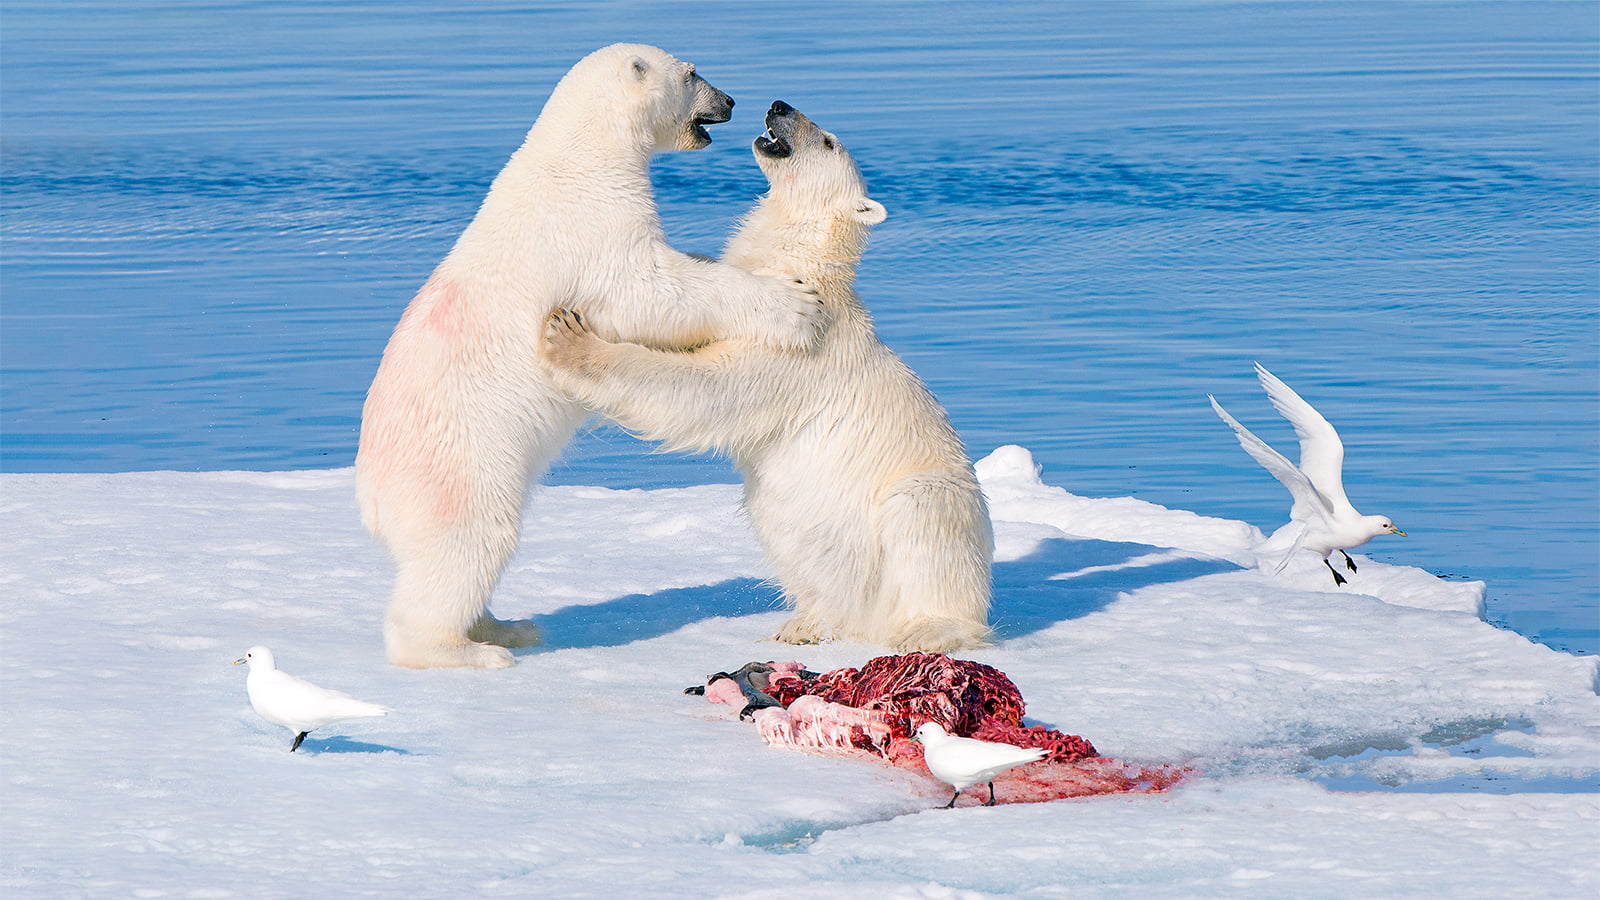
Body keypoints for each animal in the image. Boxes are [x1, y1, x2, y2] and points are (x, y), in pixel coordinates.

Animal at [355, 46, 826, 669]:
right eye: (691, 74)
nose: (729, 100)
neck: (580, 158)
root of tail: (371, 496)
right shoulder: (589, 229)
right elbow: (652, 291)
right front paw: (794, 303)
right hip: (456, 466)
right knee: (468, 544)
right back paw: (470, 651)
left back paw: (509, 626)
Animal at [539, 101, 993, 652]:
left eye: (828, 141)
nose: (780, 106)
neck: (799, 266)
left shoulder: (797, 347)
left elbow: (703, 388)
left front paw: (569, 338)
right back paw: (803, 625)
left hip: (930, 499)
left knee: (923, 520)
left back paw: (928, 631)